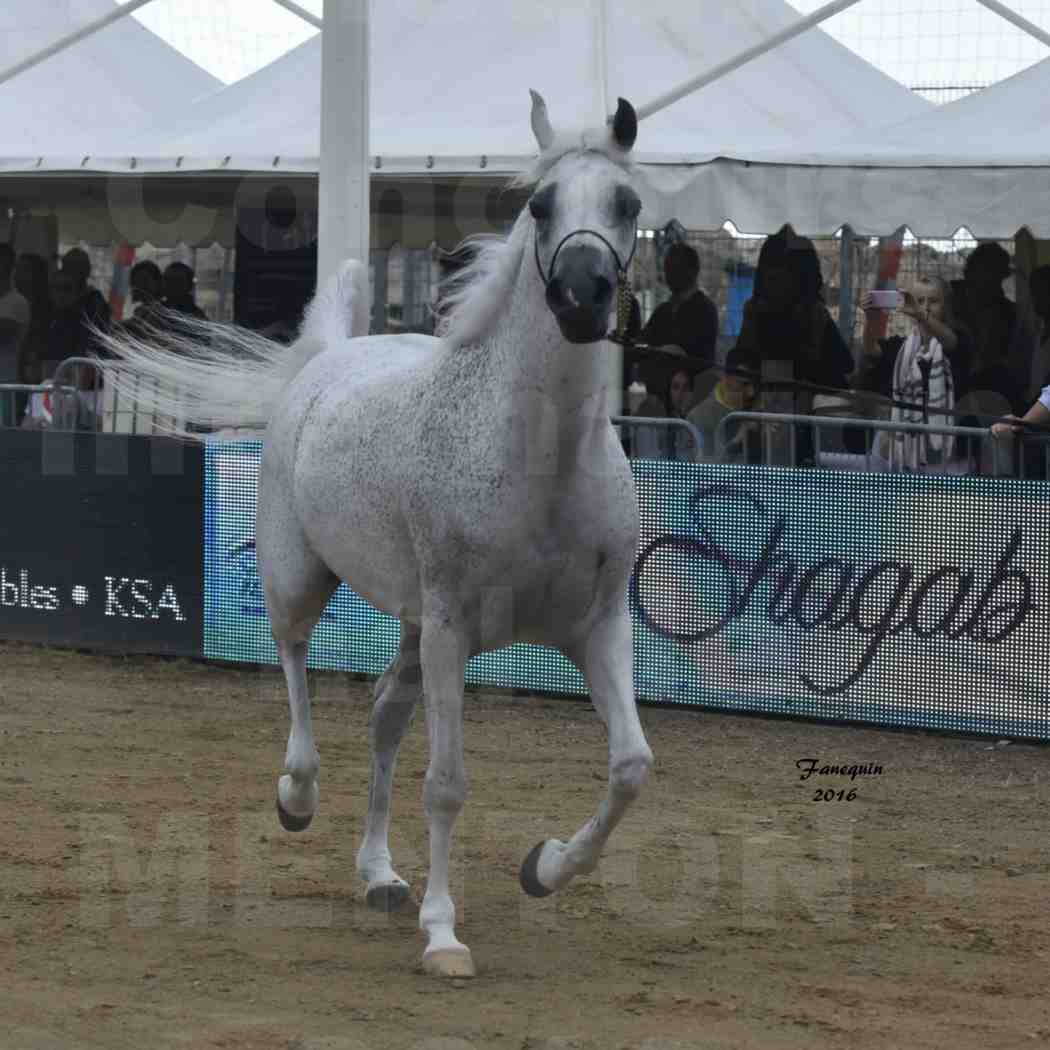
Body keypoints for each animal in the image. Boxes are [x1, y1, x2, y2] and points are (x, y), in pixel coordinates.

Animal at [102, 90, 651, 974]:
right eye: (541, 205)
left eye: (627, 203)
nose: (580, 296)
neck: (543, 463)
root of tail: (327, 358)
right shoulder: (453, 631)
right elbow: (448, 783)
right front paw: (444, 935)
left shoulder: (595, 627)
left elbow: (630, 766)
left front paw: (545, 868)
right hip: (301, 579)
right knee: (294, 665)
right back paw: (298, 795)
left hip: (412, 626)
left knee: (385, 718)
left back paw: (379, 873)